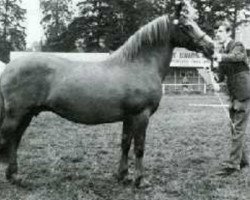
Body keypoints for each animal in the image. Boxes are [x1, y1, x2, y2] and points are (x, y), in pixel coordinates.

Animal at [0, 1, 214, 188]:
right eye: (187, 26)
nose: (211, 47)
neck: (139, 65)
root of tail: (9, 67)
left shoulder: (129, 117)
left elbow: (125, 143)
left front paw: (123, 176)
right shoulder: (141, 115)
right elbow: (139, 147)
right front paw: (140, 181)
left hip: (27, 115)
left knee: (15, 140)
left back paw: (15, 176)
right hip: (17, 114)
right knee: (8, 137)